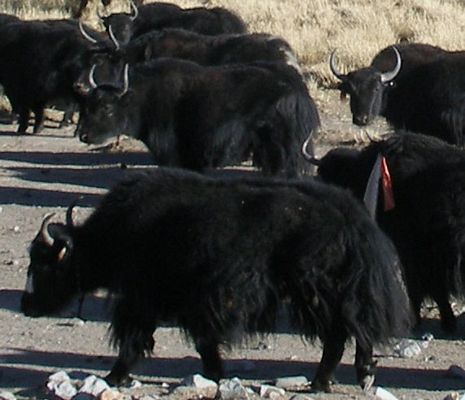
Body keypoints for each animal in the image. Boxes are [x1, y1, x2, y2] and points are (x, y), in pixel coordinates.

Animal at [20, 167, 410, 392]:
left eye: (44, 266)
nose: (27, 306)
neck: (115, 232)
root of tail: (354, 217)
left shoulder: (144, 299)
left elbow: (134, 340)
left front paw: (115, 377)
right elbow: (203, 343)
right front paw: (214, 375)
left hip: (314, 290)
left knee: (339, 332)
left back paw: (322, 382)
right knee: (354, 328)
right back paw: (357, 375)